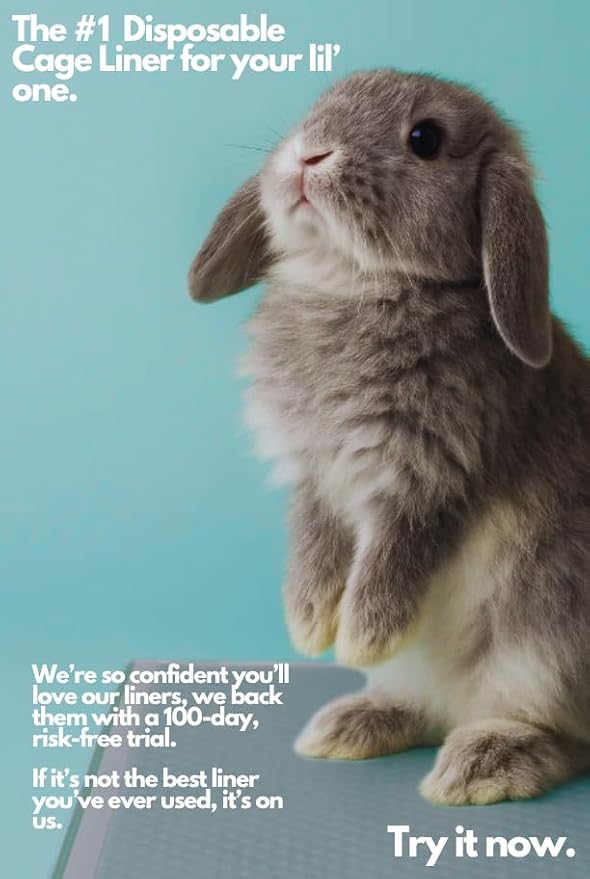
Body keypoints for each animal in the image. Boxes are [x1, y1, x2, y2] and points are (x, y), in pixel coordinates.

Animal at [188, 69, 590, 805]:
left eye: (425, 139)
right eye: (319, 105)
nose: (309, 154)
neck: (356, 285)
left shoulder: (429, 483)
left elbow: (391, 565)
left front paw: (357, 641)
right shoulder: (316, 480)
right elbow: (313, 551)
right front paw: (309, 626)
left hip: (545, 636)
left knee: (560, 733)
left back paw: (483, 763)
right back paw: (352, 722)